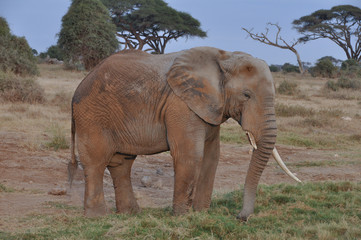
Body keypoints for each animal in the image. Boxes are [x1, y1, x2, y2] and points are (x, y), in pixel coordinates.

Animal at [69, 47, 300, 221]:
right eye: (246, 95)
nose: (240, 217)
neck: (225, 57)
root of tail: (80, 85)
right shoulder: (181, 105)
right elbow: (190, 155)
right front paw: (182, 217)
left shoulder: (210, 107)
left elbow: (211, 157)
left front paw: (202, 213)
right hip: (92, 116)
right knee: (96, 162)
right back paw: (98, 217)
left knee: (121, 164)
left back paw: (131, 214)